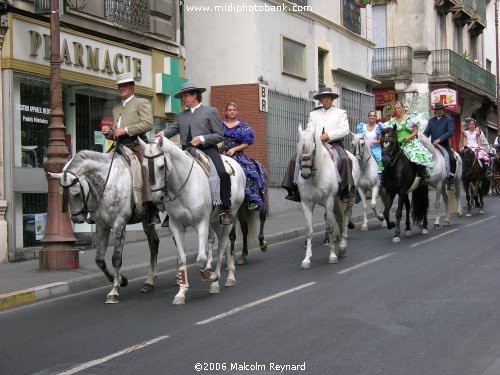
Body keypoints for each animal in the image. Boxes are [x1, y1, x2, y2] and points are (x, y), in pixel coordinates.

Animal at [48, 150, 158, 306]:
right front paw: (120, 280)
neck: (108, 181)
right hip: (146, 219)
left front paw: (114, 291)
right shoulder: (102, 225)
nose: (76, 219)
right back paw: (149, 281)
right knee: (154, 243)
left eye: (76, 193)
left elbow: (116, 258)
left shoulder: (119, 224)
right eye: (62, 194)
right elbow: (99, 260)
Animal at [140, 138, 245, 306]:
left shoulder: (201, 223)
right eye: (144, 166)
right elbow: (182, 258)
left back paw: (218, 281)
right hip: (215, 221)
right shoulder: (176, 227)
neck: (183, 186)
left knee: (222, 245)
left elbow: (201, 259)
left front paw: (210, 276)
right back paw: (229, 276)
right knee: (226, 243)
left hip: (230, 217)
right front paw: (181, 292)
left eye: (161, 166)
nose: (156, 199)